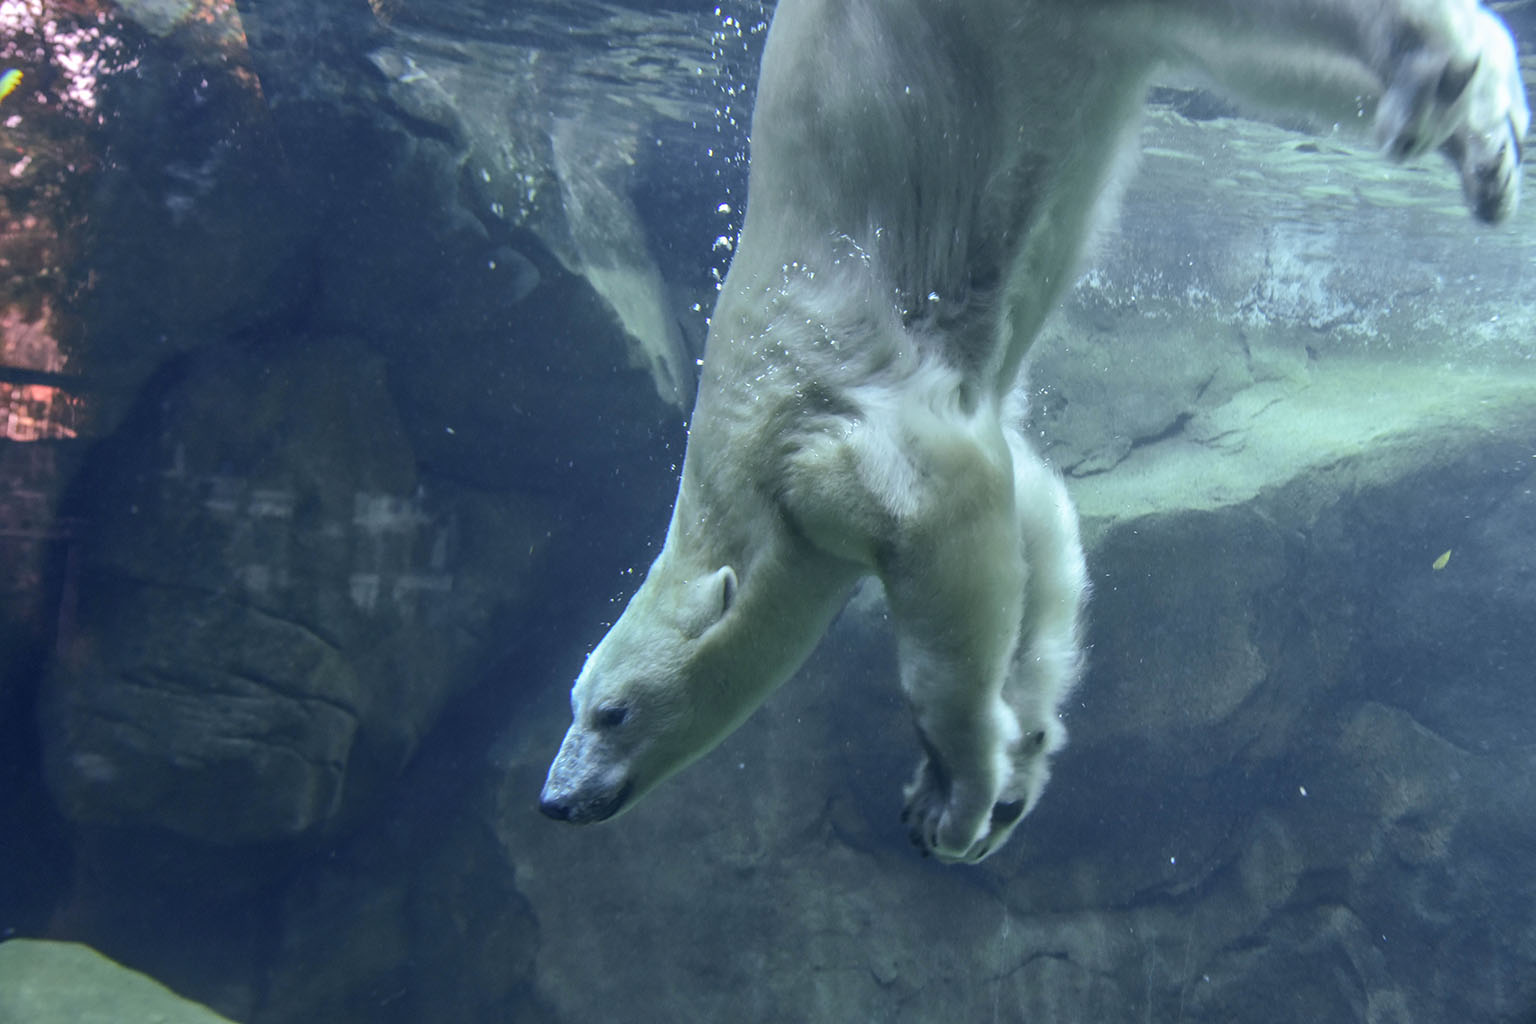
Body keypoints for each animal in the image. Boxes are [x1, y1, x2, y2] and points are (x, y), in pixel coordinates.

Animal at [540, 0, 1523, 865]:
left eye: (612, 711)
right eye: (572, 702)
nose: (553, 798)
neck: (738, 459)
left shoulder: (827, 433)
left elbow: (946, 532)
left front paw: (960, 793)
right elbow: (1037, 524)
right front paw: (1012, 768)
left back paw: (1443, 78)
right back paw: (1481, 135)